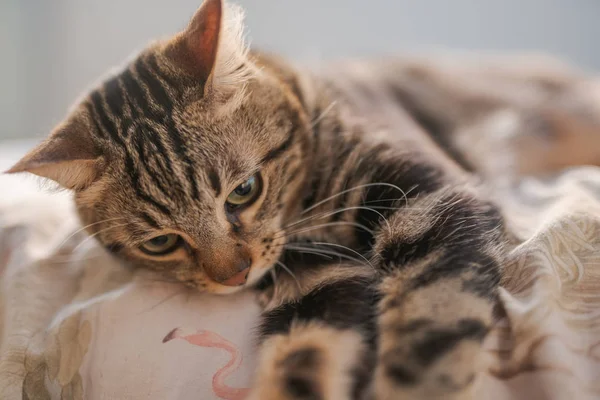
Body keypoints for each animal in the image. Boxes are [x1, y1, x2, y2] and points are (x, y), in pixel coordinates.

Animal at [8, 0, 600, 398]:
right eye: (160, 243)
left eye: (244, 191)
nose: (234, 277)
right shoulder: (315, 280)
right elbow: (304, 353)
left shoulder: (432, 196)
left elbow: (434, 314)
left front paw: (417, 385)